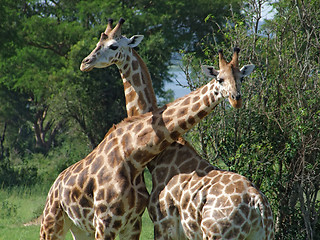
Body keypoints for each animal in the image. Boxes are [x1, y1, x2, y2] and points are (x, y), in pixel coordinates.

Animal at [79, 17, 274, 239]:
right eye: (98, 42)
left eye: (113, 46)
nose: (85, 63)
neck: (161, 155)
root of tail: (258, 204)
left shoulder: (163, 222)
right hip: (264, 233)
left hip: (217, 233)